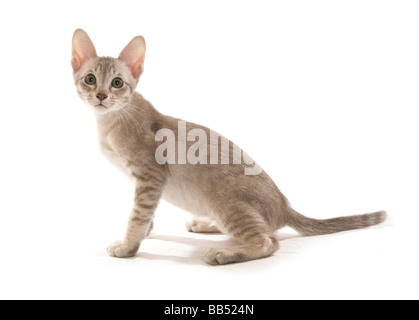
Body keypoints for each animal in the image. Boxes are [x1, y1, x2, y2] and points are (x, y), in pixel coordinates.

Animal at [69, 29, 388, 264]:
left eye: (117, 83)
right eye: (90, 79)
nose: (100, 95)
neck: (110, 121)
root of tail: (285, 206)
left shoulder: (150, 177)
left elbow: (137, 214)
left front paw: (128, 245)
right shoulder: (147, 185)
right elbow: (146, 214)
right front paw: (144, 233)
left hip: (223, 201)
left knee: (268, 241)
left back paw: (224, 253)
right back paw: (207, 225)